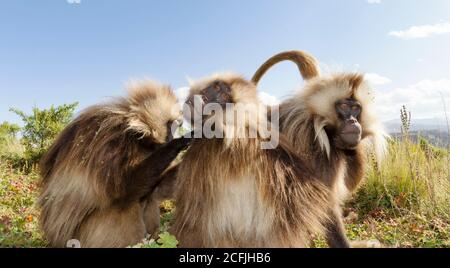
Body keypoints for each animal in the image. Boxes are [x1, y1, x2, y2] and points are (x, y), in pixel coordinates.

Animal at [38, 80, 190, 248]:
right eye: (170, 125)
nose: (171, 137)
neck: (137, 136)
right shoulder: (110, 144)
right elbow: (123, 190)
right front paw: (180, 142)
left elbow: (160, 189)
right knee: (125, 204)